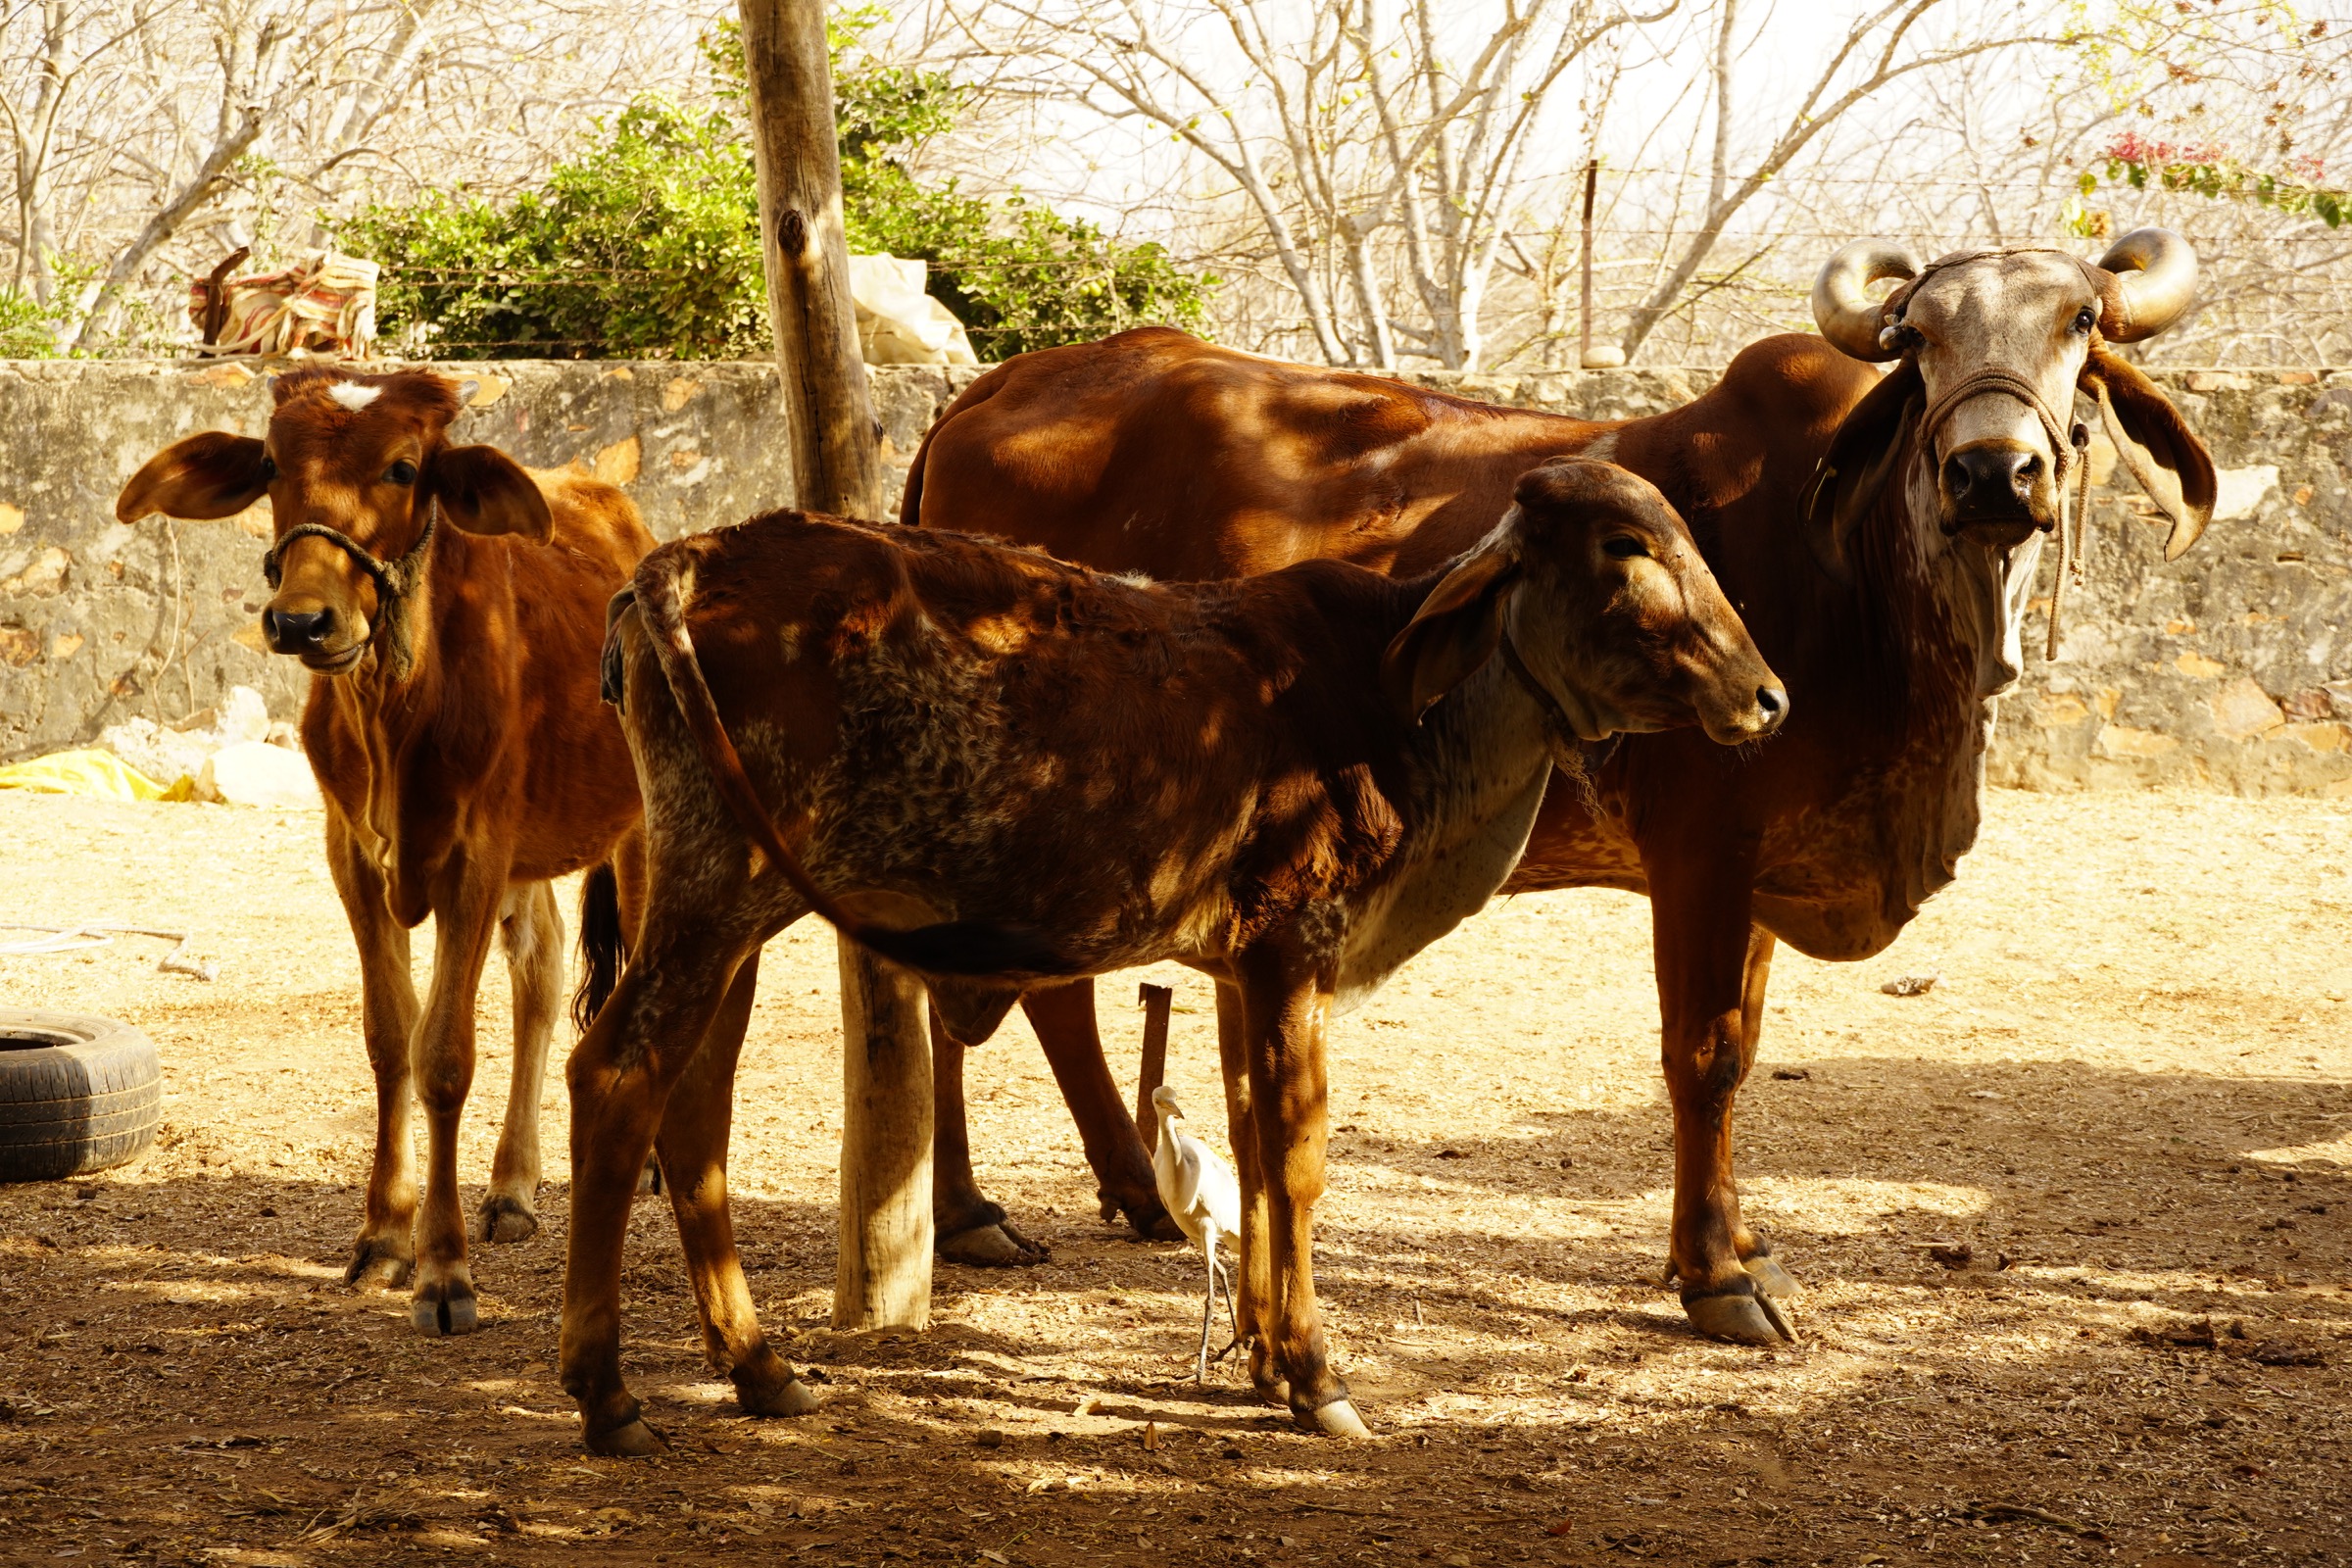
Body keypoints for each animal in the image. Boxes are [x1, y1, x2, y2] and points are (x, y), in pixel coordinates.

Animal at [115, 369, 654, 1337]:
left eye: (404, 468)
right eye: (271, 464)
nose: (302, 620)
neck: (396, 705)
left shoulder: (475, 855)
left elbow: (444, 1056)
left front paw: (444, 1271)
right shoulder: (356, 857)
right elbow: (388, 1038)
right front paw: (384, 1238)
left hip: (634, 831)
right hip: (529, 860)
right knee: (541, 970)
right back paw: (512, 1187)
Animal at [556, 459, 1788, 1454]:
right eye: (1625, 548)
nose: (1767, 696)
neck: (1406, 705)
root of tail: (692, 555)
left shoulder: (1245, 971)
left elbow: (1247, 1140)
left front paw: (1260, 1355)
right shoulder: (1296, 945)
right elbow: (1297, 1156)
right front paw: (1315, 1375)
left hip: (726, 905)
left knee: (693, 1110)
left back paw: (759, 1366)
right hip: (718, 891)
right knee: (615, 1077)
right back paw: (608, 1392)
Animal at [898, 229, 2215, 1345]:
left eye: (2080, 322)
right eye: (1919, 336)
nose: (1995, 471)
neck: (1870, 591)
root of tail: (986, 393)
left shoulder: (1764, 865)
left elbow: (1743, 1044)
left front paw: (1740, 1246)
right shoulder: (1702, 849)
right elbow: (1706, 1055)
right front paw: (1715, 1278)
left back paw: (1109, 1189)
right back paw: (968, 1212)